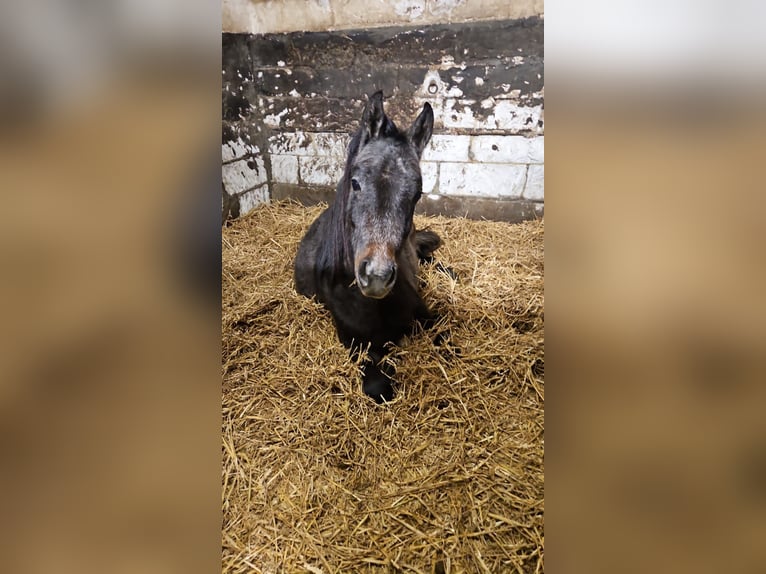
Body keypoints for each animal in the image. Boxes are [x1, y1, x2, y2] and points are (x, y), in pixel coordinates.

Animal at [296, 91, 448, 404]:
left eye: (417, 194)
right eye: (355, 183)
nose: (377, 276)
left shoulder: (425, 312)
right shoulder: (352, 339)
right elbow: (378, 386)